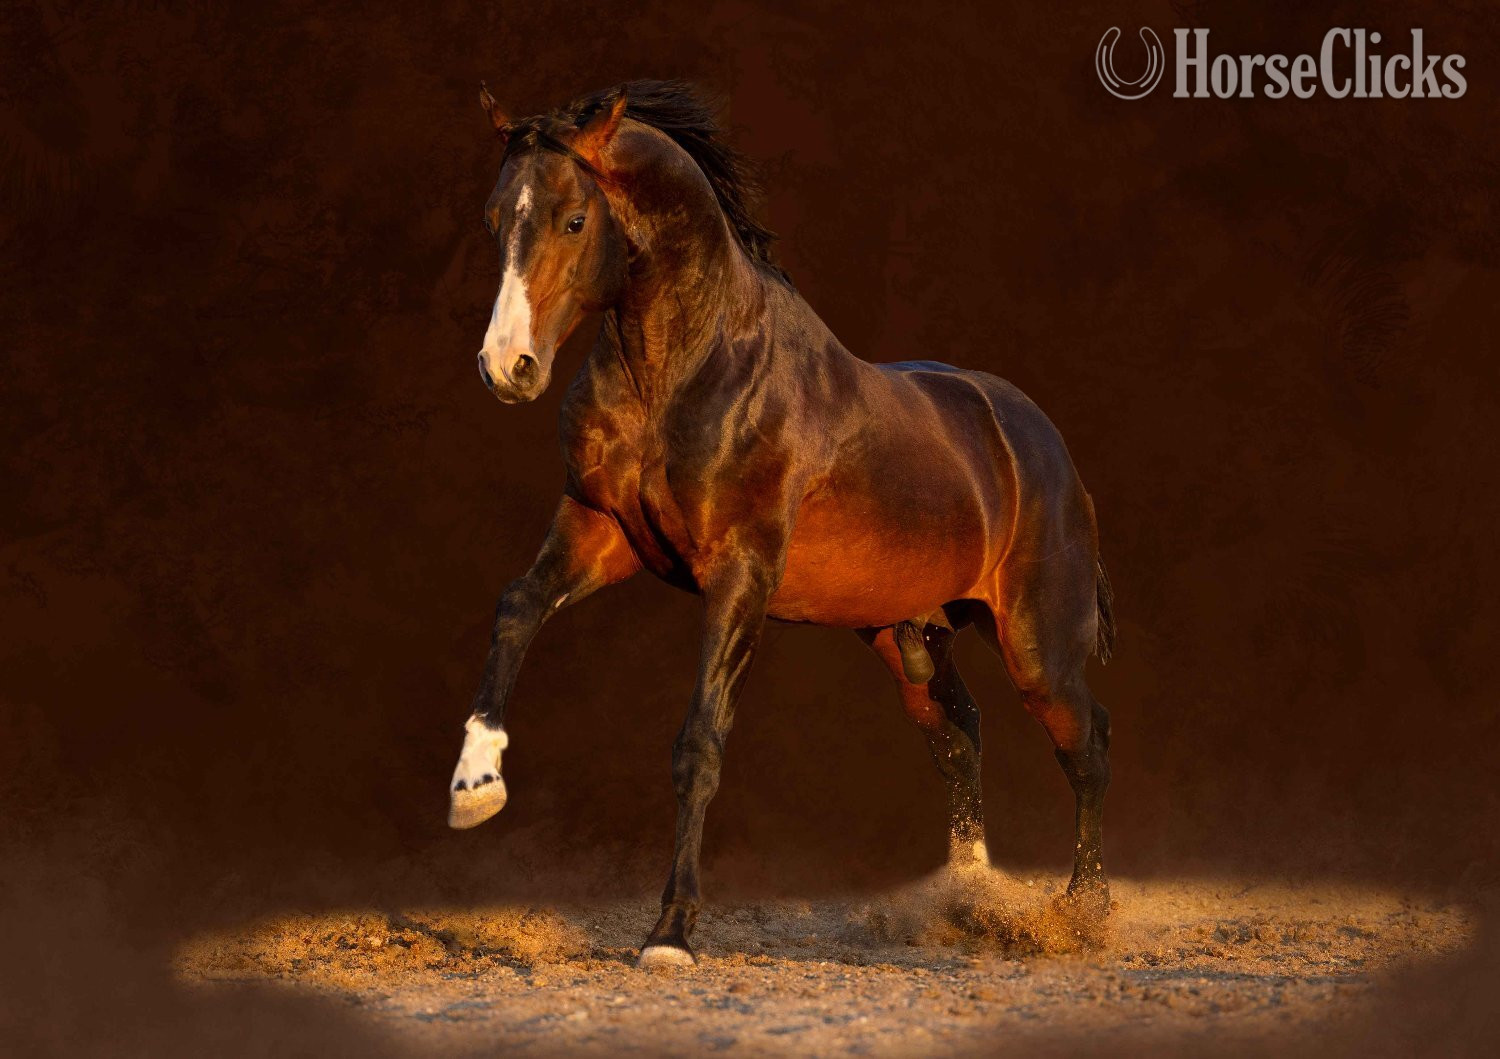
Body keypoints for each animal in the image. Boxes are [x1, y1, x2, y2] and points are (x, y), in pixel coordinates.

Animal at [448, 79, 1117, 969]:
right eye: (496, 218)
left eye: (574, 219)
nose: (507, 368)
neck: (686, 369)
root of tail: (1043, 442)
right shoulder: (600, 528)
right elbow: (517, 605)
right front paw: (475, 786)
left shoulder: (741, 572)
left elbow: (699, 743)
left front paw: (670, 933)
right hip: (907, 638)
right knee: (960, 737)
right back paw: (965, 896)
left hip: (1037, 641)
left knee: (1084, 744)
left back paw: (1083, 911)